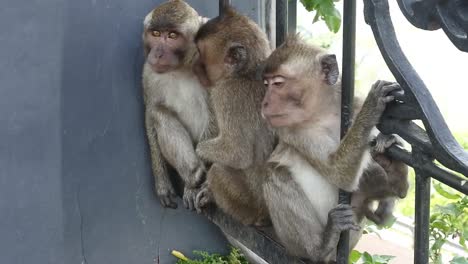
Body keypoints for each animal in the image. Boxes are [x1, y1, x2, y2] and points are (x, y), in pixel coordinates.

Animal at [142, 0, 215, 210]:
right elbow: (150, 112)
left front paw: (200, 189)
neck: (184, 65)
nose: (158, 53)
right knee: (159, 113)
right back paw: (193, 175)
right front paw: (162, 183)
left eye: (172, 36)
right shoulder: (148, 71)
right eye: (156, 34)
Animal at [191, 6, 276, 225]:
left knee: (218, 171)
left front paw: (200, 152)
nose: (193, 64)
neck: (246, 73)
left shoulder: (225, 94)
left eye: (200, 53)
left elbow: (238, 153)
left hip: (249, 206)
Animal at [260, 35, 402, 262]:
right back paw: (322, 246)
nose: (264, 103)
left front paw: (387, 139)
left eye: (278, 83)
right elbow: (338, 172)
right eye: (266, 83)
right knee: (274, 173)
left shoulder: (352, 103)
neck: (324, 112)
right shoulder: (295, 132)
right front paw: (372, 107)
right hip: (293, 244)